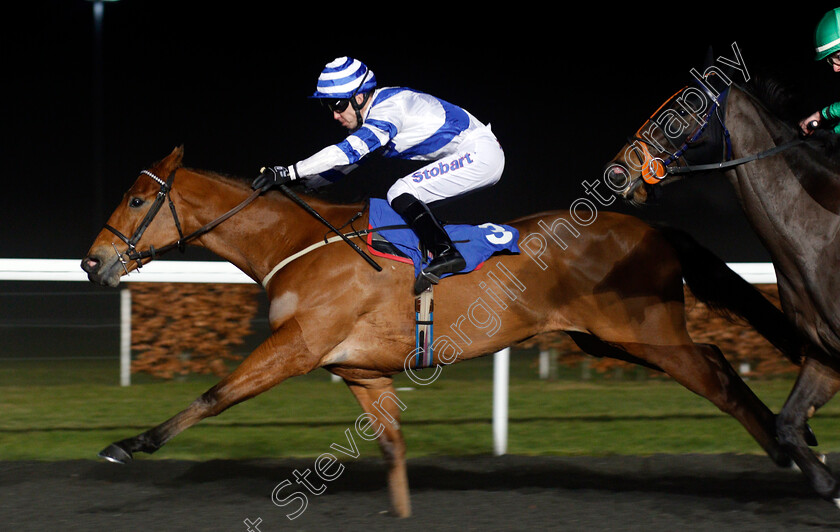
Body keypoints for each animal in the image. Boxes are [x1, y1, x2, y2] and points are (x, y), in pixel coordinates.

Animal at [82, 144, 804, 516]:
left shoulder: (299, 345)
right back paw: (796, 448)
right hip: (608, 338)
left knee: (717, 373)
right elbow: (392, 450)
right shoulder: (360, 370)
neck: (299, 243)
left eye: (139, 199)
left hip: (642, 331)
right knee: (717, 359)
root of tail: (652, 227)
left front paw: (129, 444)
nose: (93, 261)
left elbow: (217, 394)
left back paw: (802, 462)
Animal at [608, 79, 840, 508]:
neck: (819, 235)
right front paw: (829, 487)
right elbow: (787, 425)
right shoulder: (824, 352)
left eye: (682, 112)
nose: (615, 171)